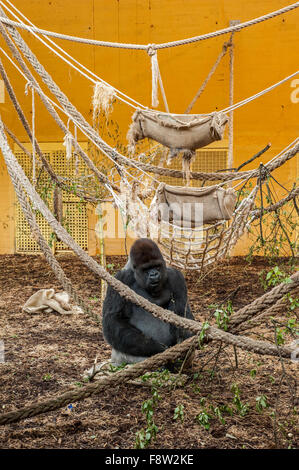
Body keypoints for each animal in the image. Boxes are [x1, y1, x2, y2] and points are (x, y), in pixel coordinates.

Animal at [102, 239, 195, 368]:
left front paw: (185, 339)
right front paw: (158, 348)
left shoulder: (176, 277)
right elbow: (114, 320)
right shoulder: (120, 279)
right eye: (146, 269)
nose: (154, 274)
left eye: (156, 266)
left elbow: (182, 314)